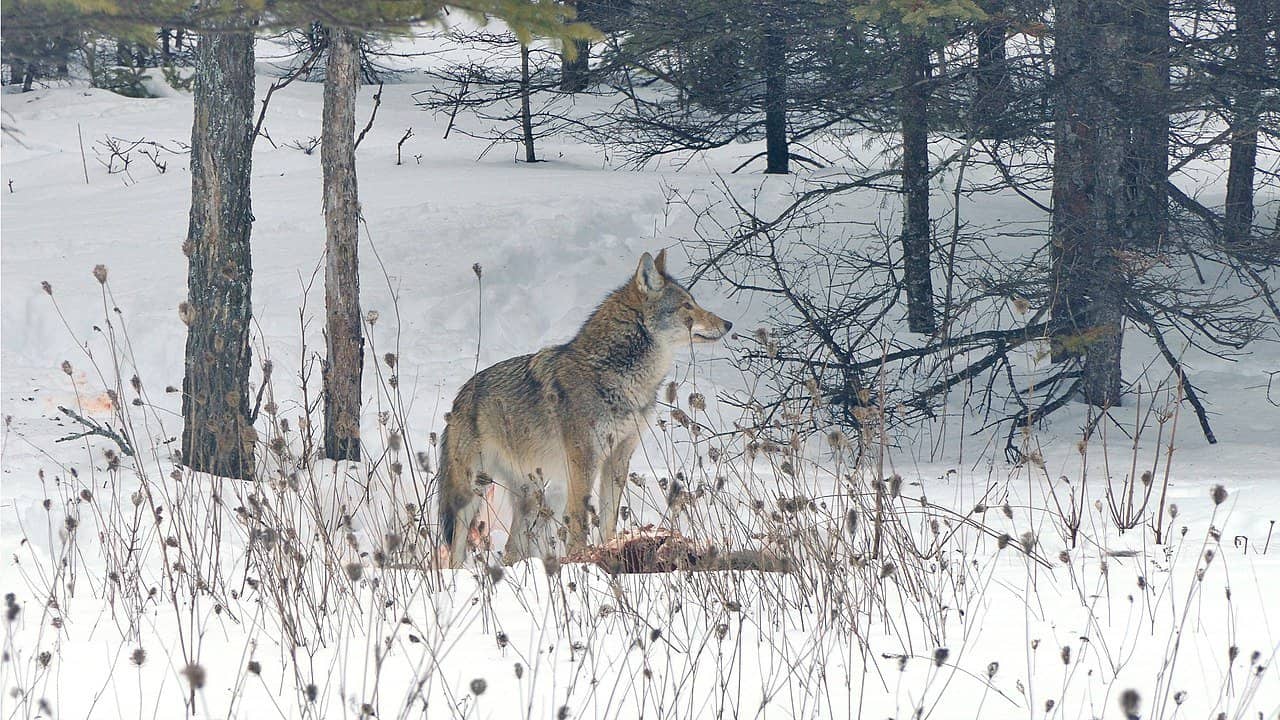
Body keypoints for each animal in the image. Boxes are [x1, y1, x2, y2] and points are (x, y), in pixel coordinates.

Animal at [437, 250, 732, 567]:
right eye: (687, 305)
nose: (728, 324)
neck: (620, 378)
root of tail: (459, 397)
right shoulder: (583, 460)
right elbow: (579, 520)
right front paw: (580, 561)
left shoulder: (618, 459)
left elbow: (608, 519)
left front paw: (612, 550)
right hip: (472, 492)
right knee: (455, 549)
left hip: (531, 499)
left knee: (511, 550)